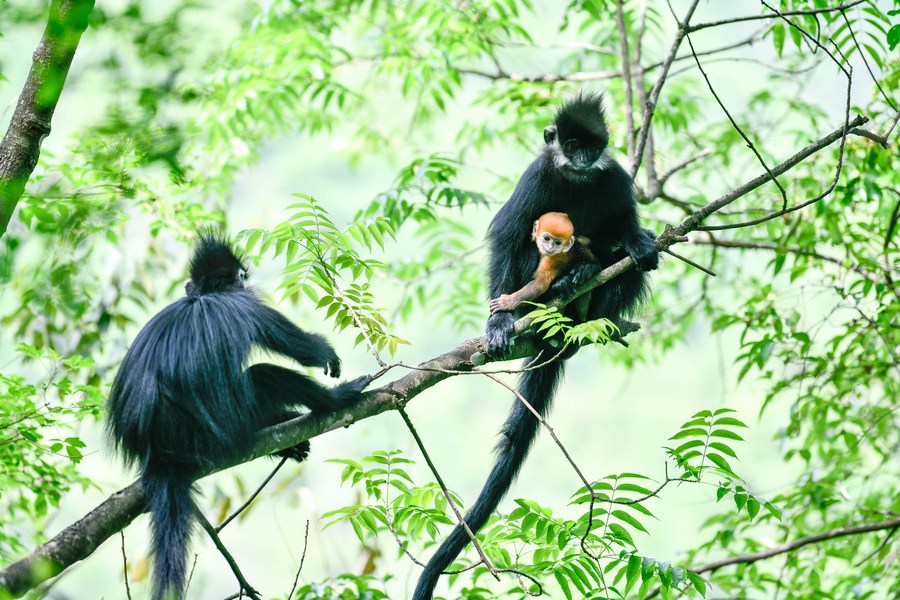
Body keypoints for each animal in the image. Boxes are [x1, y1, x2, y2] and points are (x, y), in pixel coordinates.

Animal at [106, 234, 370, 600]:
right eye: (241, 277)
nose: (246, 280)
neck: (204, 296)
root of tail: (160, 451)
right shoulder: (245, 305)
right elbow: (297, 347)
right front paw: (325, 354)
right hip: (226, 423)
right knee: (263, 375)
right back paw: (333, 401)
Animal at [412, 91, 656, 596]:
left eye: (593, 147)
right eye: (572, 144)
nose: (582, 160)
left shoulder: (615, 178)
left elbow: (626, 226)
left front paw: (637, 243)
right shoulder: (535, 177)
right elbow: (508, 236)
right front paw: (499, 319)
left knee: (620, 264)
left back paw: (589, 294)